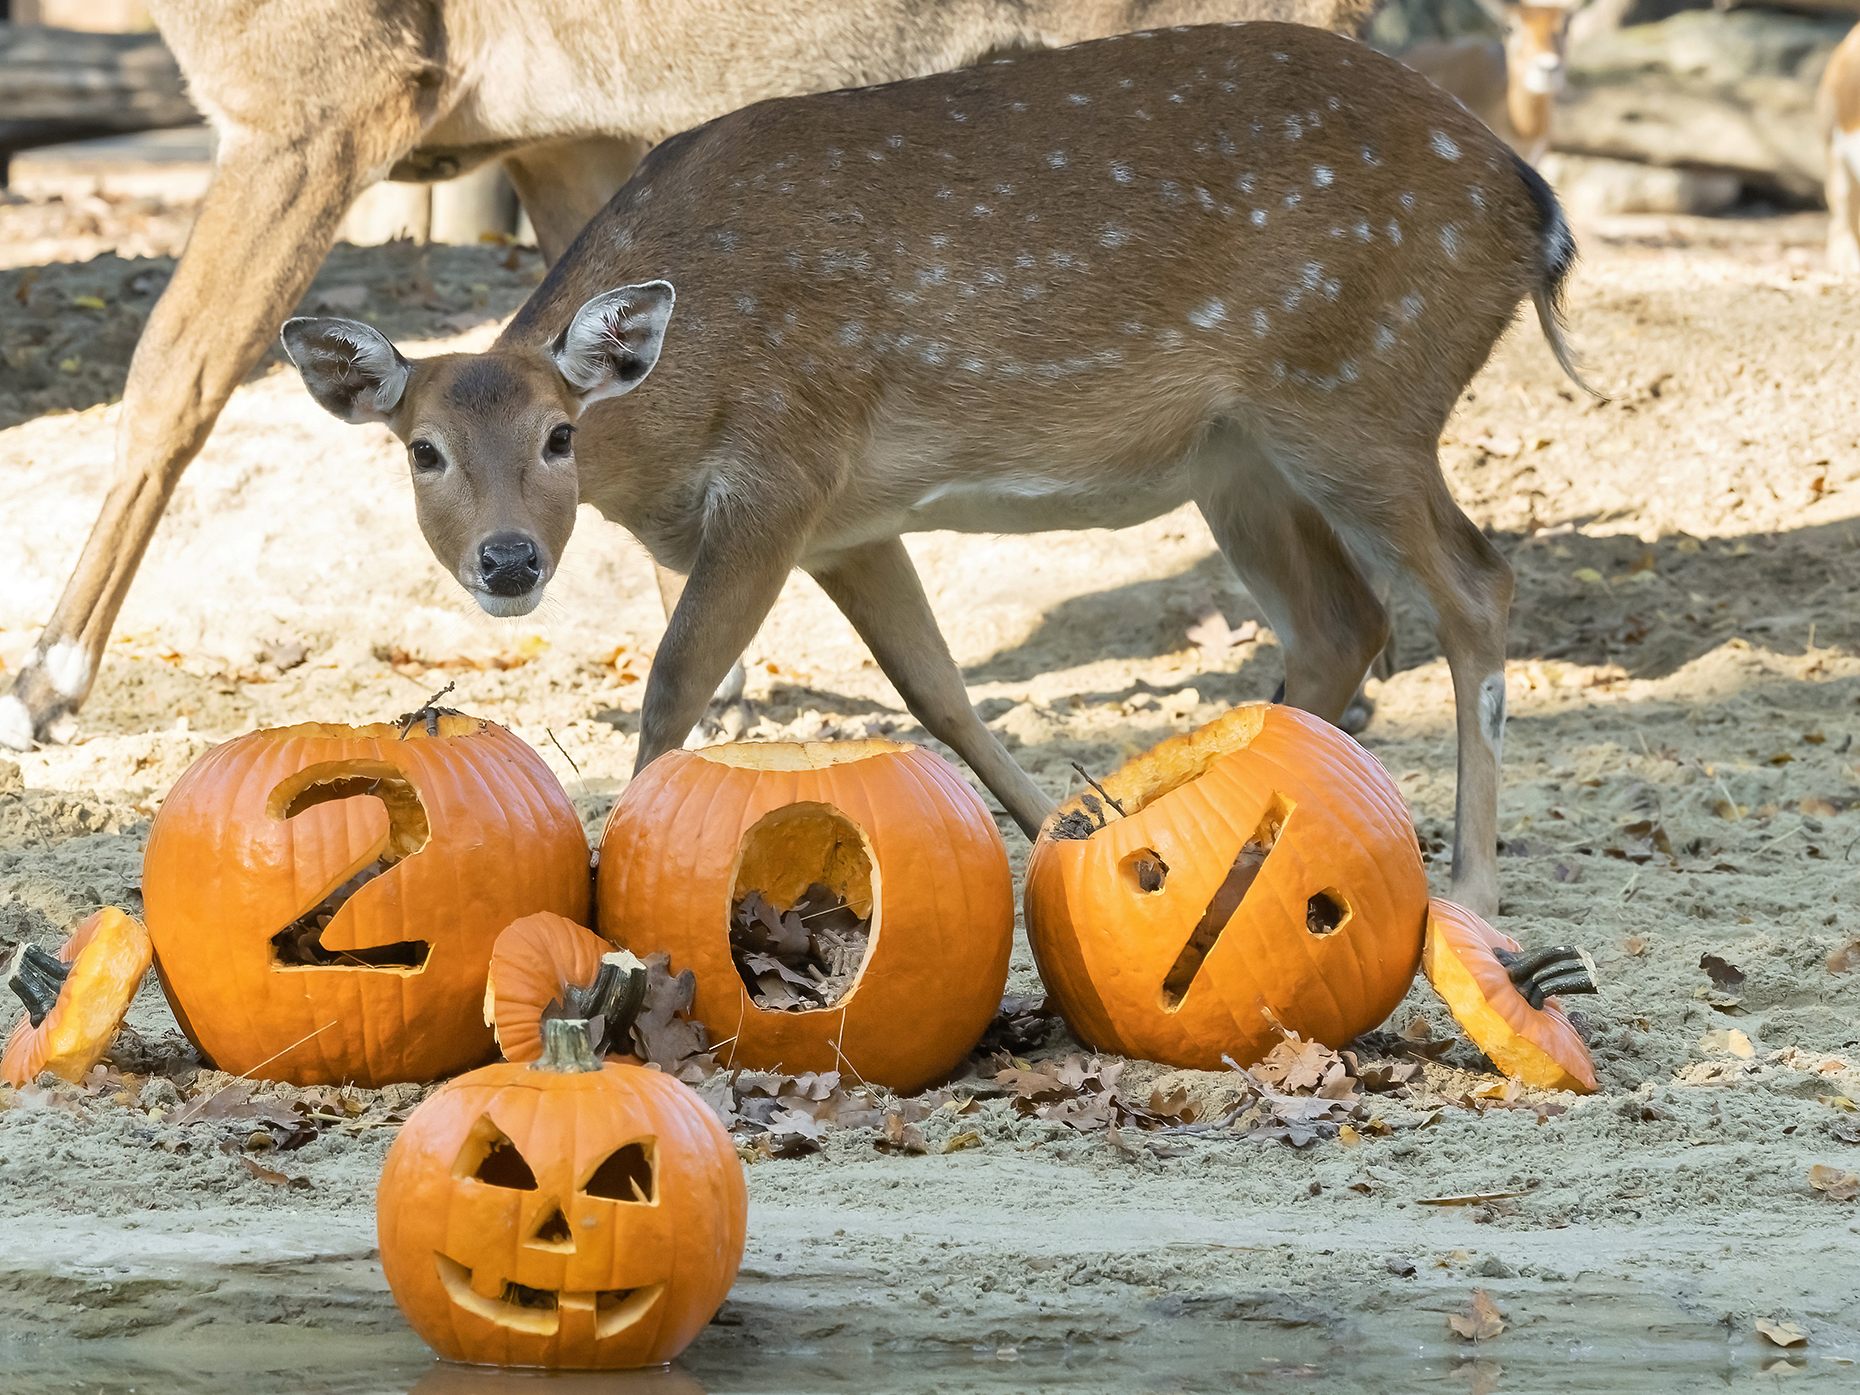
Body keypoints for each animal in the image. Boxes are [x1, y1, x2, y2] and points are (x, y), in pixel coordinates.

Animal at [0, 0, 1391, 755]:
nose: (504, 565)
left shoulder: (323, 93)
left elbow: (171, 374)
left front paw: (45, 685)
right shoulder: (555, 125)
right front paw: (719, 682)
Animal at [282, 24, 1592, 918]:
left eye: (560, 437)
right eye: (422, 451)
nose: (508, 561)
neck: (670, 411)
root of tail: (1535, 209)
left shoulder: (788, 463)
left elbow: (674, 684)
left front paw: (616, 909)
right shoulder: (852, 523)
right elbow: (940, 690)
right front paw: (1058, 841)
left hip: (1360, 392)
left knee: (1475, 585)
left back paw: (1471, 891)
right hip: (1241, 456)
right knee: (1343, 621)